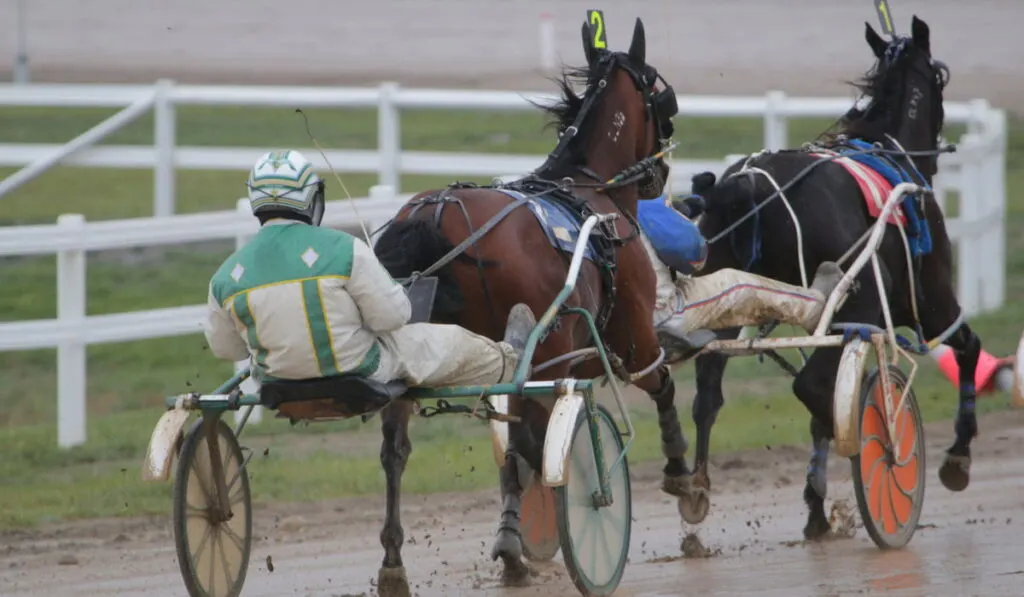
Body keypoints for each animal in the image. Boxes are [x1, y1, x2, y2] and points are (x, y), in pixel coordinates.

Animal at [370, 16, 688, 593]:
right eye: (662, 93)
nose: (659, 175)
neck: (591, 192)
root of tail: (436, 212)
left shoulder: (556, 363)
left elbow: (523, 451)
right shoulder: (622, 340)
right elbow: (657, 383)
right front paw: (683, 479)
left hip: (422, 356)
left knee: (395, 451)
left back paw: (394, 562)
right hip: (540, 353)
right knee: (528, 445)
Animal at [679, 14, 974, 540]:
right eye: (941, 76)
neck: (886, 151)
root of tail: (749, 184)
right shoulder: (932, 302)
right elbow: (968, 348)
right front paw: (956, 460)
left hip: (725, 298)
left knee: (709, 392)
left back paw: (702, 488)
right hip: (862, 298)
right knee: (813, 389)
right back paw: (868, 453)